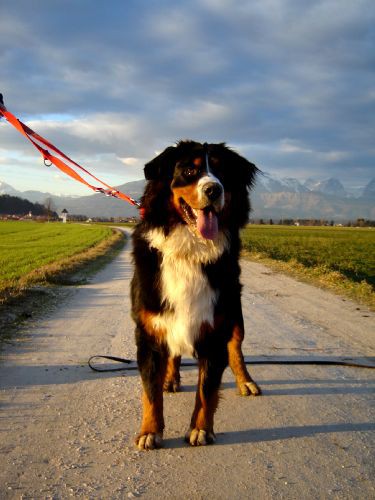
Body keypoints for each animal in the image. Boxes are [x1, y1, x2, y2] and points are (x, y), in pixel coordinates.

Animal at [132, 140, 262, 450]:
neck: (190, 250)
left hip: (235, 312)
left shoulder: (216, 330)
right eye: (190, 171)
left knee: (236, 347)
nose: (214, 189)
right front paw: (149, 431)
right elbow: (150, 392)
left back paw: (245, 381)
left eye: (222, 172)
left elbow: (207, 391)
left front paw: (201, 429)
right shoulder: (149, 330)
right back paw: (170, 378)